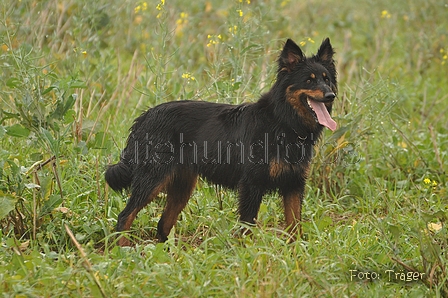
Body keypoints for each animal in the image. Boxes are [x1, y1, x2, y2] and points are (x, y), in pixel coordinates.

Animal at [105, 37, 336, 247]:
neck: (282, 122)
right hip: (153, 179)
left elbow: (295, 227)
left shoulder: (294, 185)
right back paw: (122, 248)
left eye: (327, 79)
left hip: (182, 186)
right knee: (125, 215)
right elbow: (247, 227)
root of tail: (145, 116)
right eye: (309, 80)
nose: (331, 95)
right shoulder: (252, 185)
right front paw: (245, 254)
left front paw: (296, 253)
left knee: (163, 223)